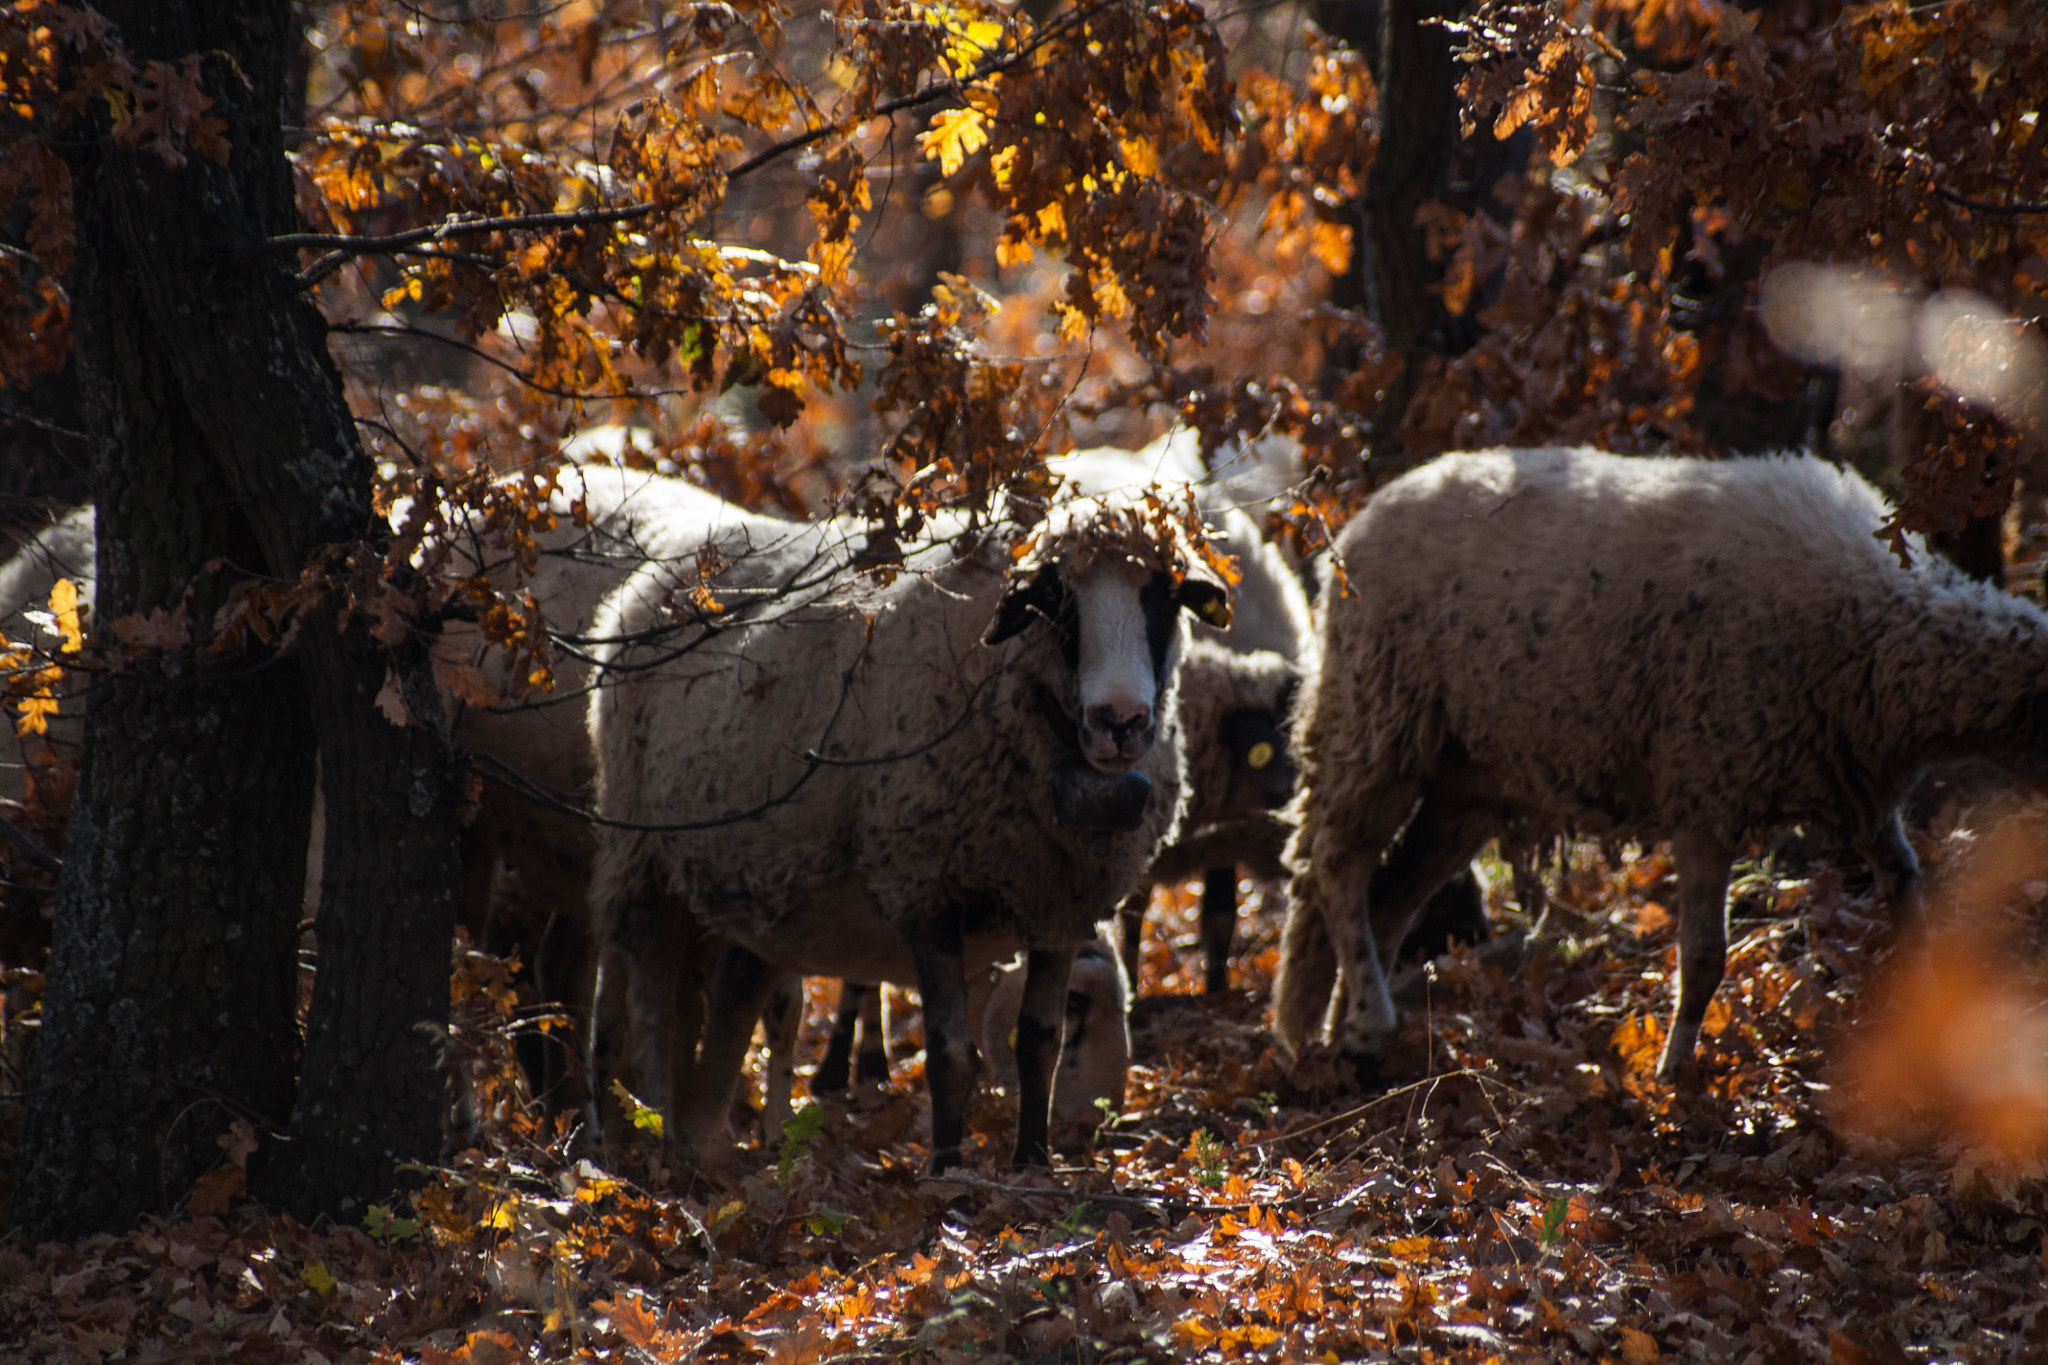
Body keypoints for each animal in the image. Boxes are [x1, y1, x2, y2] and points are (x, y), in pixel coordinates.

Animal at [593, 491, 1228, 1178]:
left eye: (1165, 598)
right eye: (1055, 600)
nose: (1121, 722)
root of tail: (645, 582)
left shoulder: (1057, 905)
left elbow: (1040, 1043)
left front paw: (1033, 1162)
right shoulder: (925, 886)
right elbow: (948, 1051)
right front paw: (947, 1165)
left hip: (740, 885)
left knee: (732, 996)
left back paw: (704, 1142)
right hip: (640, 854)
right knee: (646, 999)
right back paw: (650, 1126)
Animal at [1269, 448, 2048, 1088]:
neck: (1880, 627)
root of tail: (1363, 515)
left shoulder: (1857, 790)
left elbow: (1910, 896)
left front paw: (1929, 1009)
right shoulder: (1706, 788)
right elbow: (1704, 954)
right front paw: (1674, 1071)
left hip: (1466, 783)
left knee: (1387, 895)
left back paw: (1347, 1031)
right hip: (1378, 724)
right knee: (1334, 869)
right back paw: (1365, 1024)